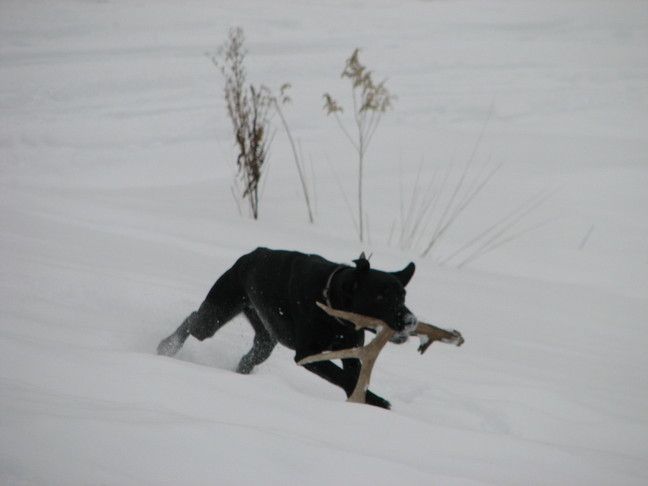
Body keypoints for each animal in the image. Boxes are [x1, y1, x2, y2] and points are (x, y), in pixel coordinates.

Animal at [159, 249, 418, 408]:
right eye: (380, 296)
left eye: (403, 296)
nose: (411, 320)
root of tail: (250, 256)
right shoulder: (307, 354)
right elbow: (342, 376)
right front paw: (378, 401)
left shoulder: (352, 354)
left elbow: (352, 377)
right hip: (215, 315)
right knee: (192, 321)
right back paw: (166, 347)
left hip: (265, 341)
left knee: (247, 359)